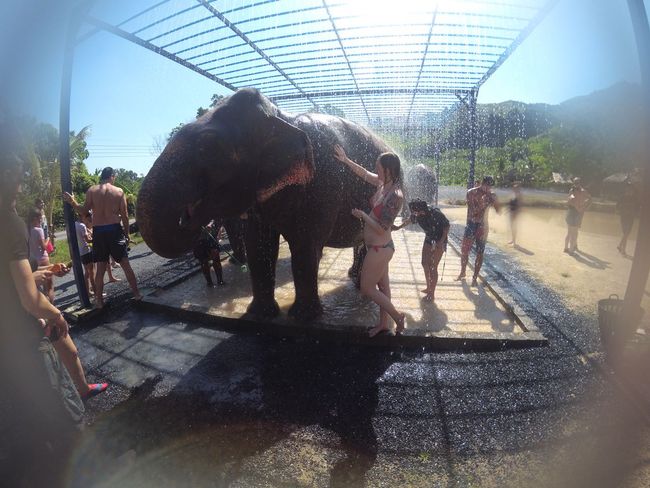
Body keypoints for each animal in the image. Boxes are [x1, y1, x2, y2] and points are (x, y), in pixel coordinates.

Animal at [135, 88, 390, 320]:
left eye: (208, 147)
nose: (196, 225)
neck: (282, 117)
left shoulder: (322, 185)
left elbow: (305, 246)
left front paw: (303, 317)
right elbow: (259, 245)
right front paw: (260, 314)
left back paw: (358, 283)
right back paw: (355, 278)